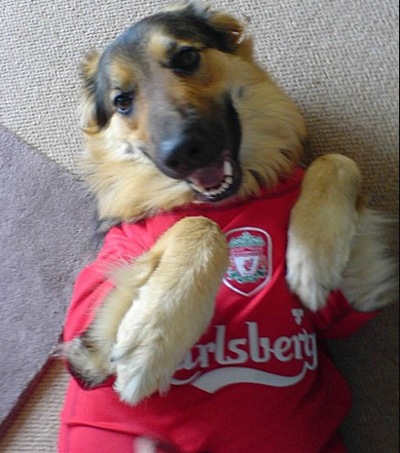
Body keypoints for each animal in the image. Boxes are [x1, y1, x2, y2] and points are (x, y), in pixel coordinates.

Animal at [60, 1, 396, 450]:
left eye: (186, 58)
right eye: (123, 101)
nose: (182, 152)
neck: (228, 198)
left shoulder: (356, 293)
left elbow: (338, 161)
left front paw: (312, 258)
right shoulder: (90, 352)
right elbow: (199, 225)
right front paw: (153, 339)